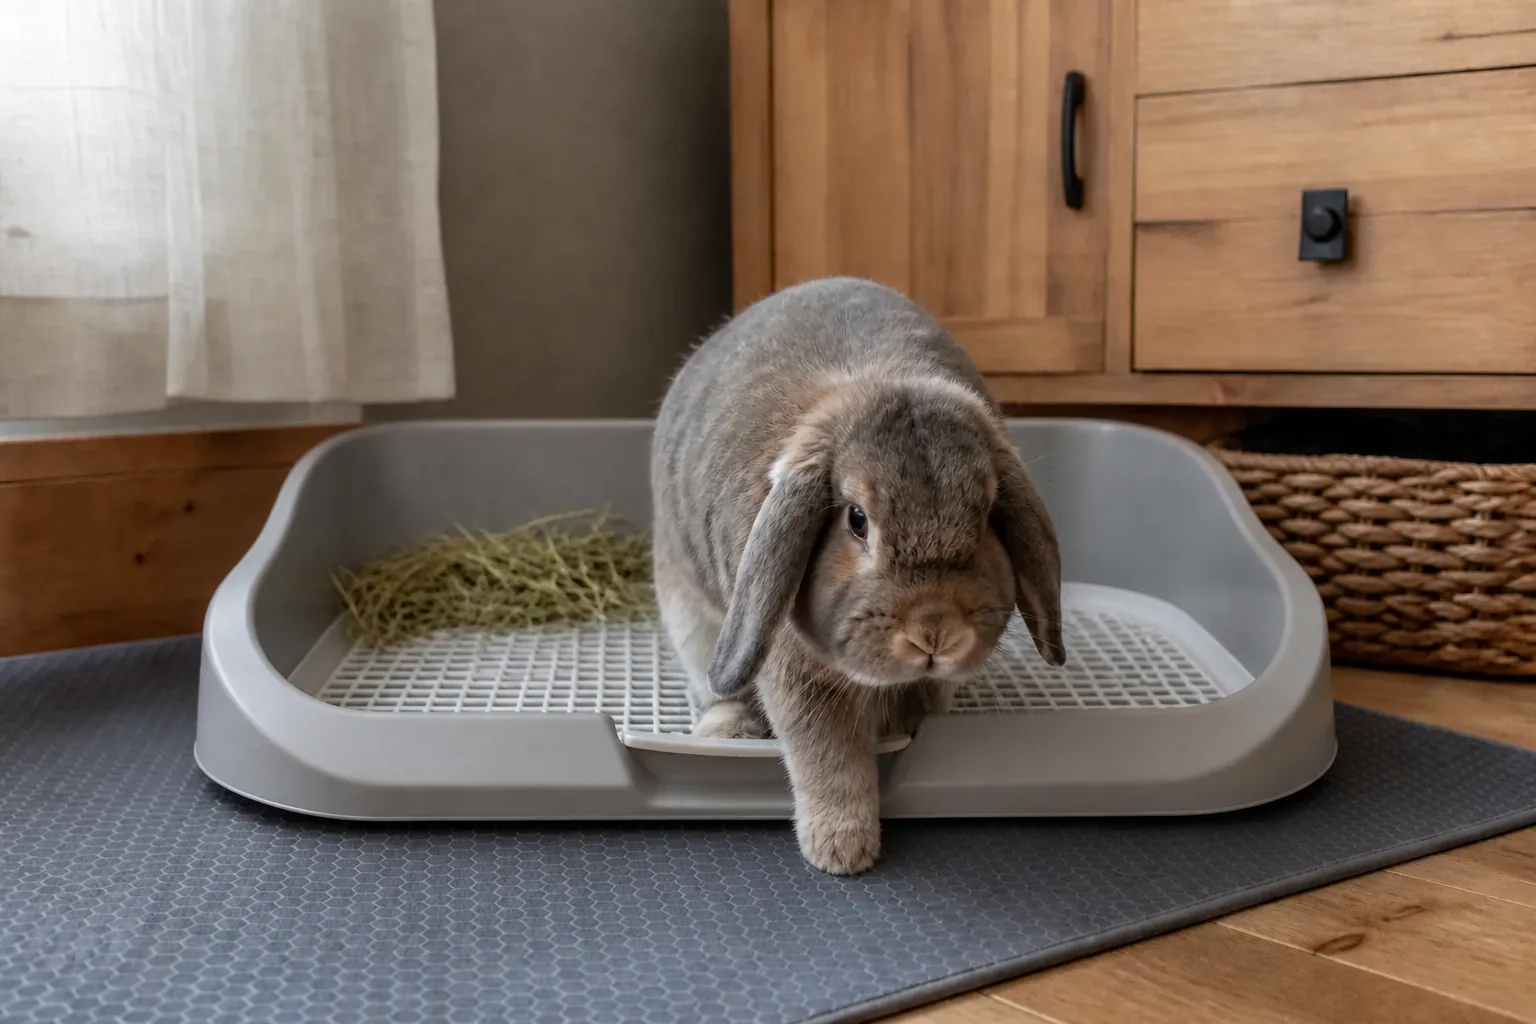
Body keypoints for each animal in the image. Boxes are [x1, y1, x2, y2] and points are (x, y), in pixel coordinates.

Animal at [650, 276, 1064, 876]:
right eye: (857, 520)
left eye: (989, 515)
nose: (935, 631)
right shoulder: (799, 680)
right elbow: (830, 759)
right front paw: (842, 852)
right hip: (694, 622)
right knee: (716, 686)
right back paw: (724, 729)